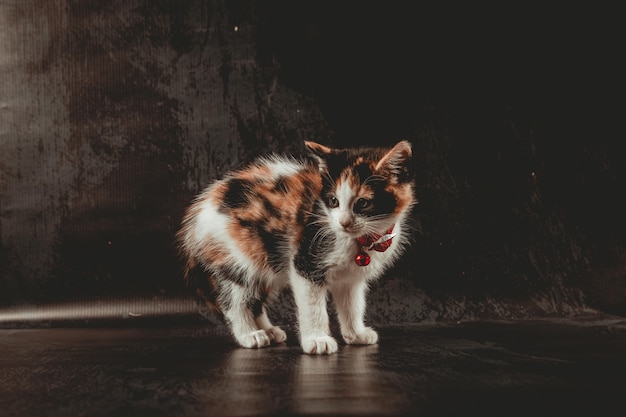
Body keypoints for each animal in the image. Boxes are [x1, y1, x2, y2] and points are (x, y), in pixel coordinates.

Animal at [177, 141, 414, 354]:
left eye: (363, 203)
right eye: (333, 201)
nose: (344, 222)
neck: (361, 239)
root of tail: (197, 214)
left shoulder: (351, 278)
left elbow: (353, 305)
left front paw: (356, 334)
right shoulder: (305, 261)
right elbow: (313, 307)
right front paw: (317, 340)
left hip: (266, 260)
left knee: (255, 298)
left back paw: (269, 331)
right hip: (238, 256)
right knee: (236, 300)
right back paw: (249, 334)